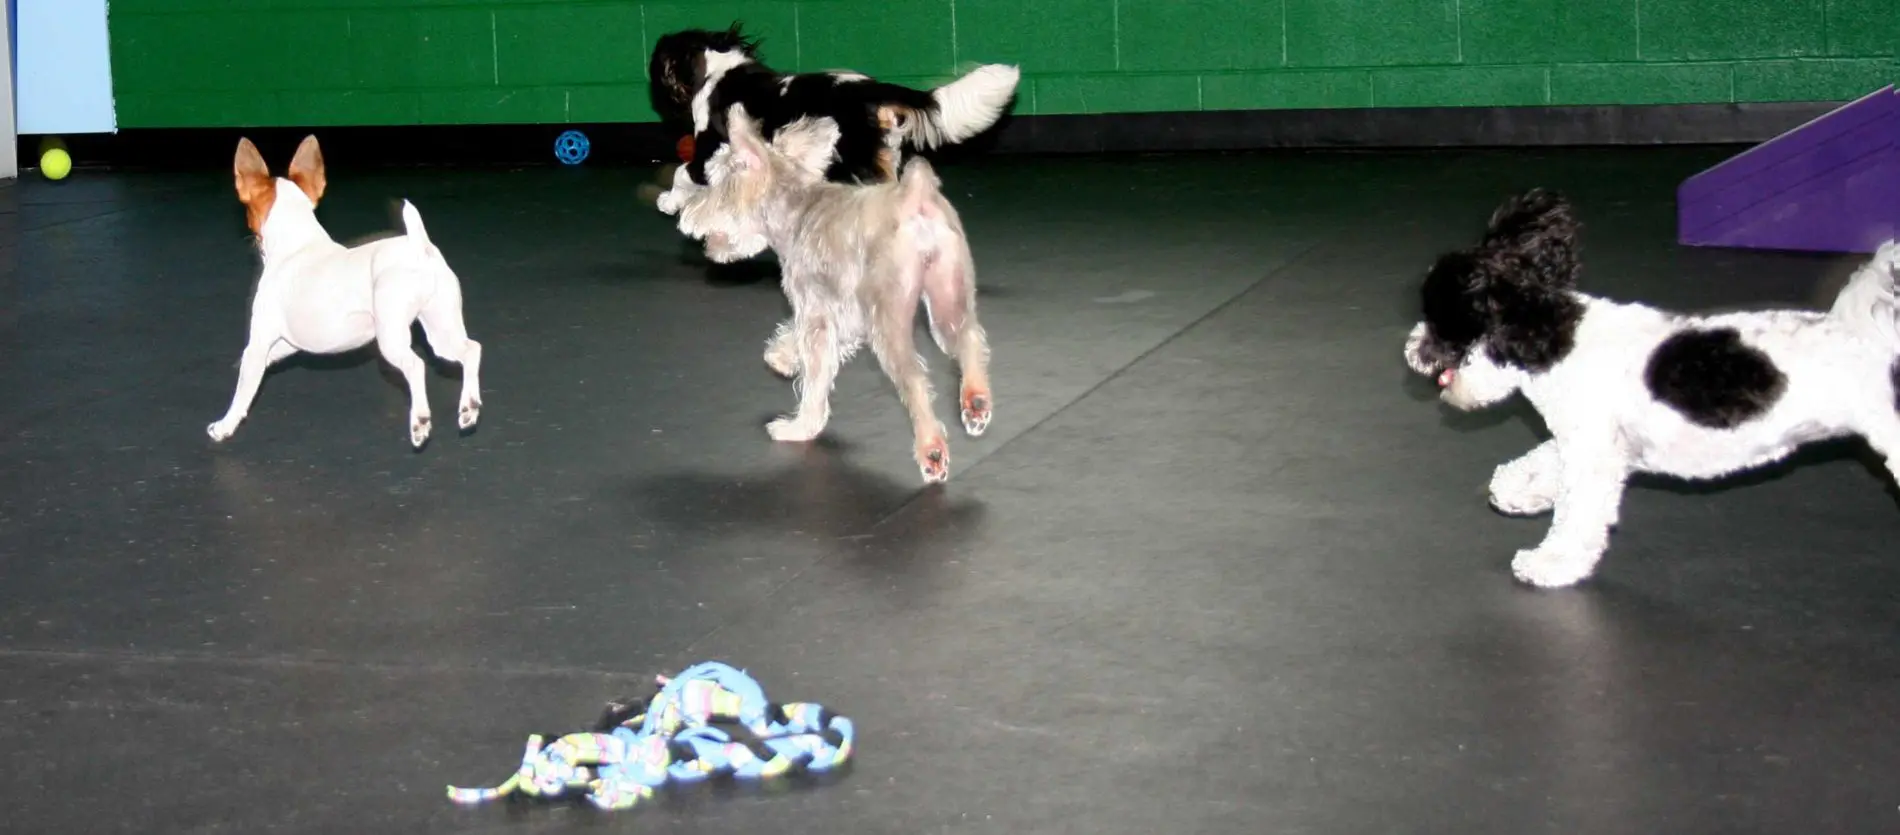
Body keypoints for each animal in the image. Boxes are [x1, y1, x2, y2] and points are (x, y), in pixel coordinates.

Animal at [207, 137, 486, 450]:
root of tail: (419, 248)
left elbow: (244, 389)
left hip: (391, 337)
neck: (297, 245)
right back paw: (469, 408)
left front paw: (224, 426)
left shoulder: (260, 340)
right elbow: (266, 361)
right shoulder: (288, 343)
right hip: (441, 330)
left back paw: (420, 423)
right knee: (471, 350)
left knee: (416, 365)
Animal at [646, 22, 1018, 213]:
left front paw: (669, 202)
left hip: (860, 164)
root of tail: (871, 89)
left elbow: (681, 172)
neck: (717, 69)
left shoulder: (709, 153)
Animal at [1398, 189, 1900, 589]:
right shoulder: (1590, 442)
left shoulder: (1593, 457)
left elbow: (1576, 516)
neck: (1553, 337)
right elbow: (1540, 462)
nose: (1412, 351)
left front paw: (1550, 565)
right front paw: (1519, 491)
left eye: (1438, 320)